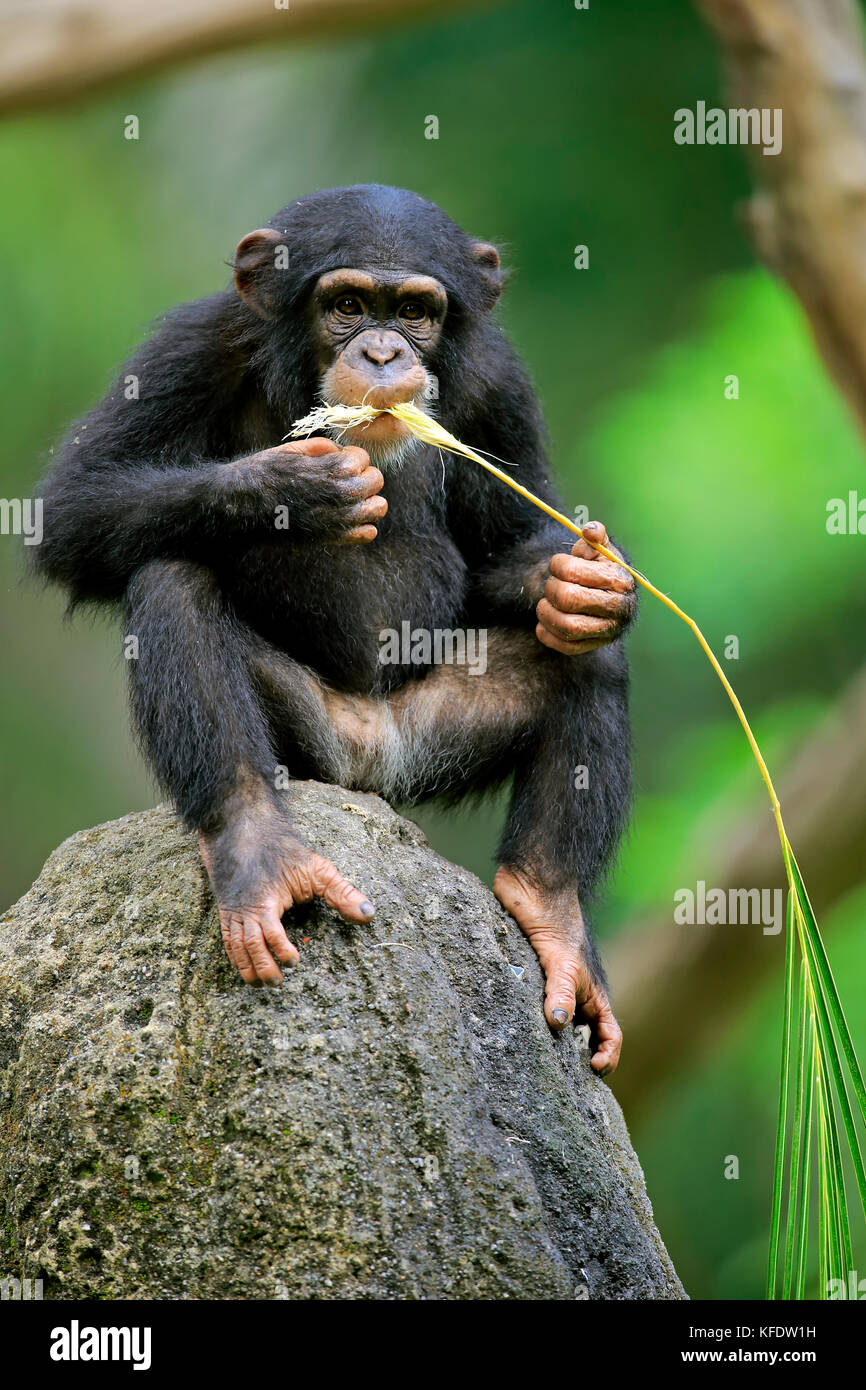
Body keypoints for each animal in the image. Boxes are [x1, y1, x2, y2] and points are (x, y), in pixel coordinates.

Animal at [33, 184, 636, 1076]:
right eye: (347, 305)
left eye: (416, 312)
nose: (383, 354)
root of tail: (367, 771)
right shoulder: (189, 347)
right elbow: (73, 506)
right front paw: (298, 488)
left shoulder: (500, 386)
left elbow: (509, 539)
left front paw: (580, 580)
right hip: (311, 741)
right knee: (171, 579)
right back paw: (258, 851)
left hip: (428, 741)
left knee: (588, 660)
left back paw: (552, 911)